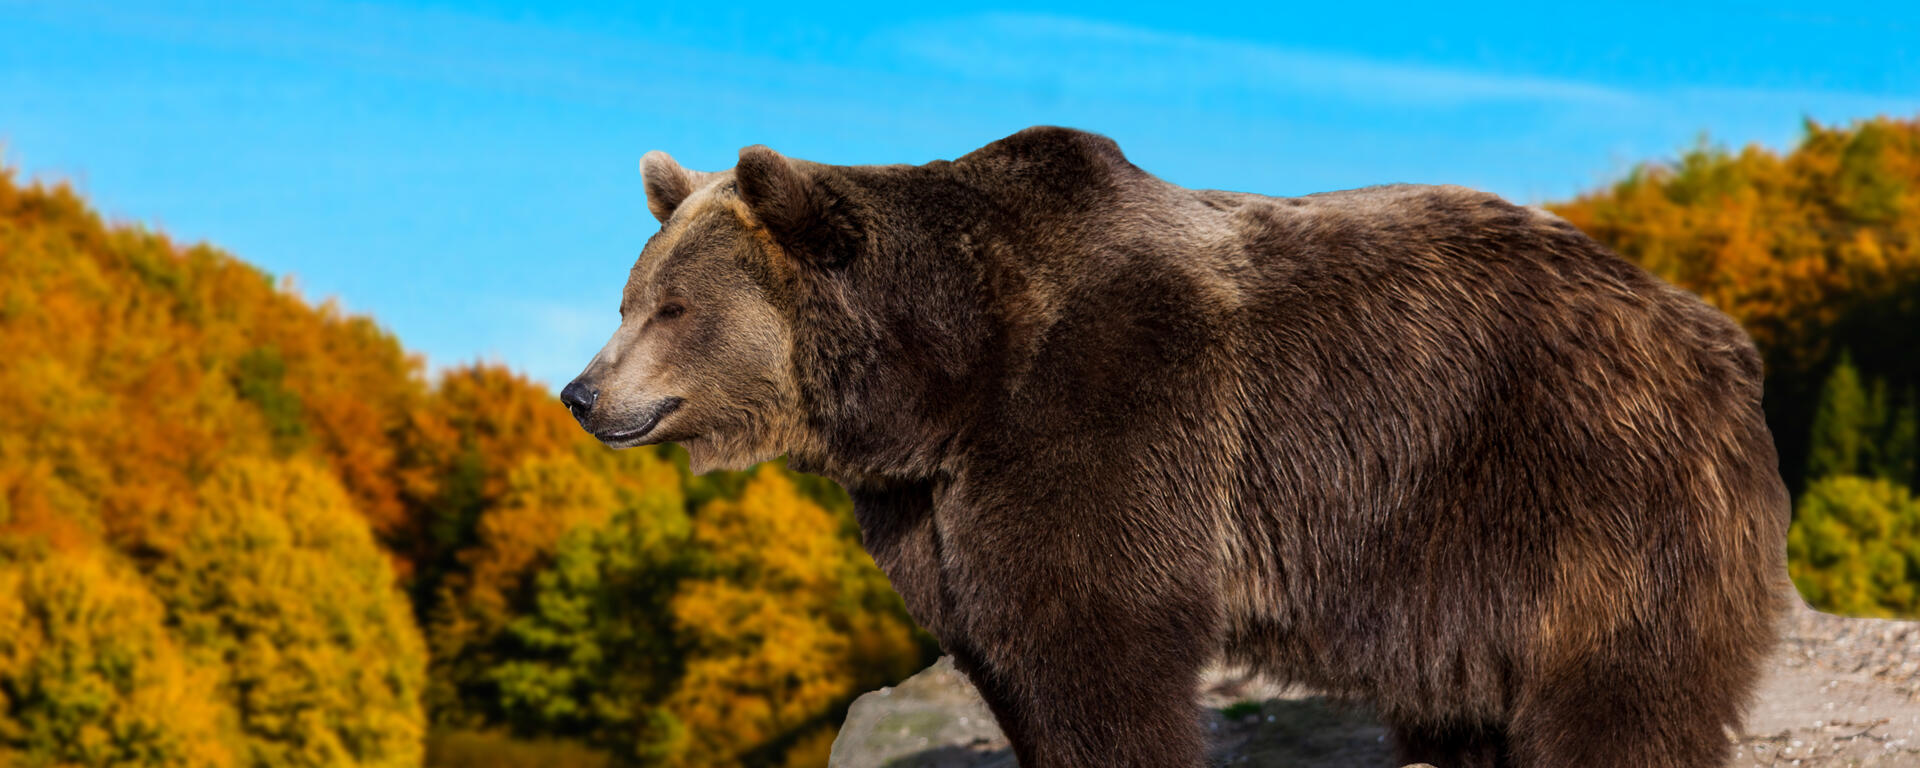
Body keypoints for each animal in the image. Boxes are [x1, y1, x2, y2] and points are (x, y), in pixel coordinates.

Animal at [559, 126, 1791, 767]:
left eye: (668, 307)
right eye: (629, 298)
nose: (581, 392)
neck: (950, 377)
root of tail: (1711, 331)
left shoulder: (1110, 413)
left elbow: (1098, 643)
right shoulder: (936, 503)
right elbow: (1000, 648)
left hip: (1581, 482)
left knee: (1620, 689)